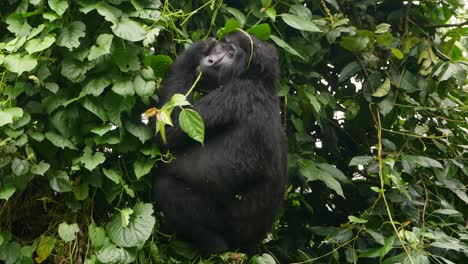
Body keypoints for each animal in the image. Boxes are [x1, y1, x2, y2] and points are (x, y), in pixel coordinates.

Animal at [152, 32, 288, 254]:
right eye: (222, 47)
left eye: (231, 54)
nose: (211, 60)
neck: (258, 80)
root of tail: (244, 249)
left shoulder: (234, 93)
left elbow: (171, 127)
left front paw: (195, 50)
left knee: (166, 188)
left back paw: (213, 245)